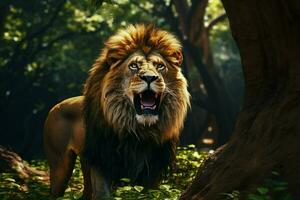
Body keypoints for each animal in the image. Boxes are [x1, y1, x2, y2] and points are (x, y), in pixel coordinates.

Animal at [44, 24, 190, 199]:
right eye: (134, 65)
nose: (149, 78)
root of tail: (56, 105)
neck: (139, 130)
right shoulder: (102, 159)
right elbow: (103, 193)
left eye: (160, 66)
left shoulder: (154, 168)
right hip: (60, 167)